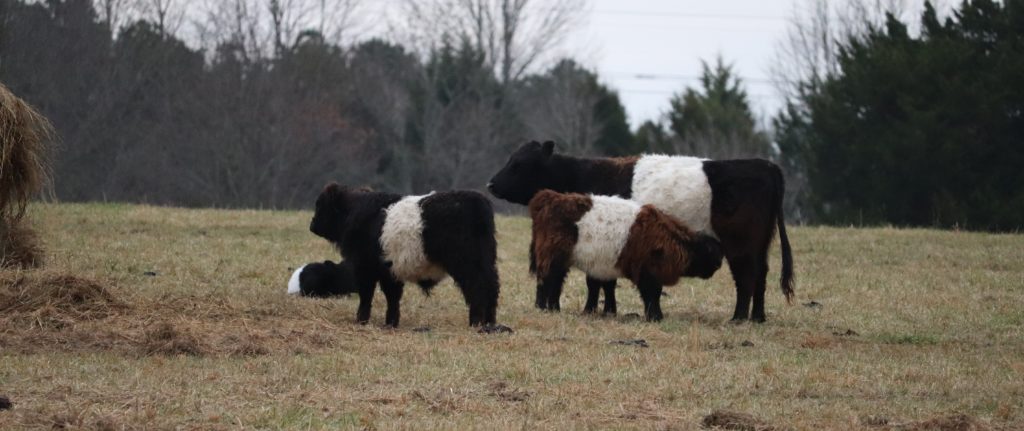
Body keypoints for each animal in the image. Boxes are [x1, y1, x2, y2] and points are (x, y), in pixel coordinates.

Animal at [311, 183, 503, 327]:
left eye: (320, 206)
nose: (312, 225)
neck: (356, 213)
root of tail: (479, 201)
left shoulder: (365, 268)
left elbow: (367, 296)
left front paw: (361, 320)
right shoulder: (390, 270)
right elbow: (393, 297)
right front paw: (391, 323)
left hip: (467, 265)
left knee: (477, 288)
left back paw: (475, 322)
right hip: (486, 262)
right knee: (491, 288)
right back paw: (489, 322)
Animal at [528, 189, 720, 321]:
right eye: (710, 252)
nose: (718, 265)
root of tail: (549, 197)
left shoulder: (604, 268)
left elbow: (605, 289)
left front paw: (608, 312)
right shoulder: (647, 274)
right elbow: (652, 295)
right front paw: (655, 317)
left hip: (560, 261)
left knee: (556, 283)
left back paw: (554, 308)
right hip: (551, 258)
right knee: (545, 280)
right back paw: (541, 307)